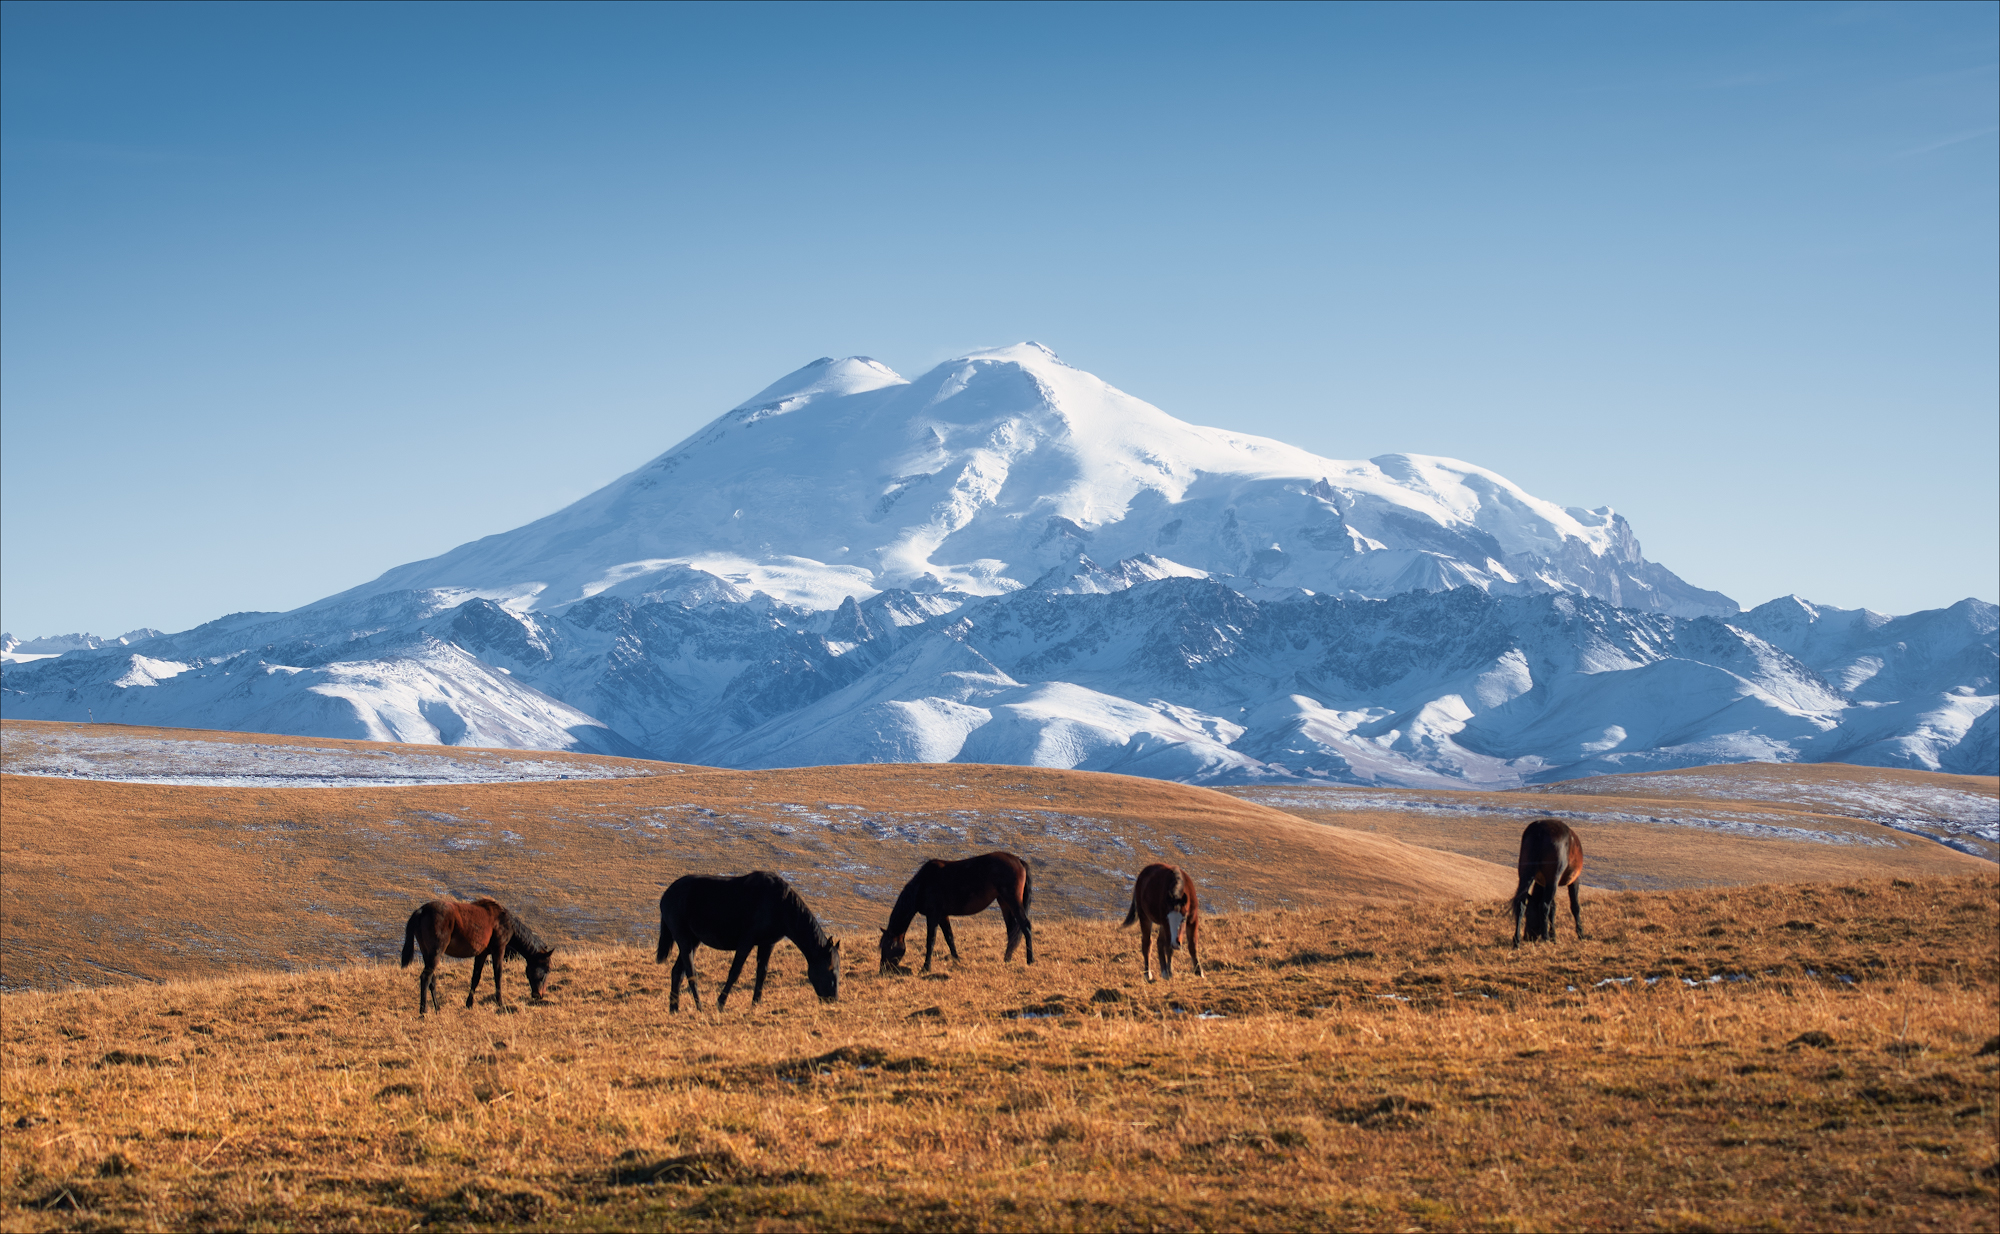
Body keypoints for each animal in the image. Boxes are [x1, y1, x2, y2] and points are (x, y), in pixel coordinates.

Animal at [398, 892, 556, 1016]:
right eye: (547, 970)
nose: (539, 995)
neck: (504, 922)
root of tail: (421, 910)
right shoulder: (498, 949)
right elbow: (497, 975)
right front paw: (500, 1003)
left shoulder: (482, 953)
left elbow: (475, 977)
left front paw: (469, 1003)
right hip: (436, 952)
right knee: (425, 977)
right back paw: (423, 1011)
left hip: (427, 953)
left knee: (432, 979)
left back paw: (437, 1008)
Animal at [656, 868, 844, 1012]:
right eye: (829, 968)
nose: (832, 999)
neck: (781, 904)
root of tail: (666, 895)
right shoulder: (746, 942)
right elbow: (735, 972)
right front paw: (720, 1003)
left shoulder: (767, 944)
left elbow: (762, 972)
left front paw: (755, 1004)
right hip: (684, 940)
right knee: (690, 972)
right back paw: (699, 1007)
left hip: (693, 940)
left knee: (677, 972)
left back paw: (674, 1009)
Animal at [876, 848, 1032, 972]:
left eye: (889, 946)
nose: (882, 970)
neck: (923, 884)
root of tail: (1018, 861)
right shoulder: (942, 916)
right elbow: (949, 937)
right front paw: (957, 960)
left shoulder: (933, 915)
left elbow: (930, 940)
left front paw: (926, 968)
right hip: (1004, 902)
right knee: (1011, 930)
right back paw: (1007, 958)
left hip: (1012, 900)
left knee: (1025, 926)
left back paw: (1030, 960)